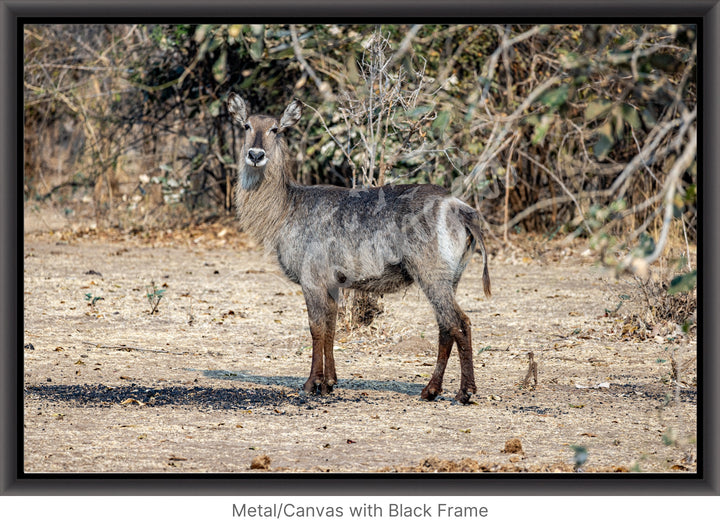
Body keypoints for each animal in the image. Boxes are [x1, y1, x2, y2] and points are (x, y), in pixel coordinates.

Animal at [228, 94, 492, 404]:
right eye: (246, 125)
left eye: (275, 129)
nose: (256, 155)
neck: (286, 208)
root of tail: (460, 208)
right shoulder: (332, 282)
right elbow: (331, 327)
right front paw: (330, 382)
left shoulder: (311, 278)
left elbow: (316, 328)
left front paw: (311, 383)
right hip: (452, 277)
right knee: (445, 326)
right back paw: (431, 390)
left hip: (431, 274)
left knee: (460, 322)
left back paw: (465, 391)